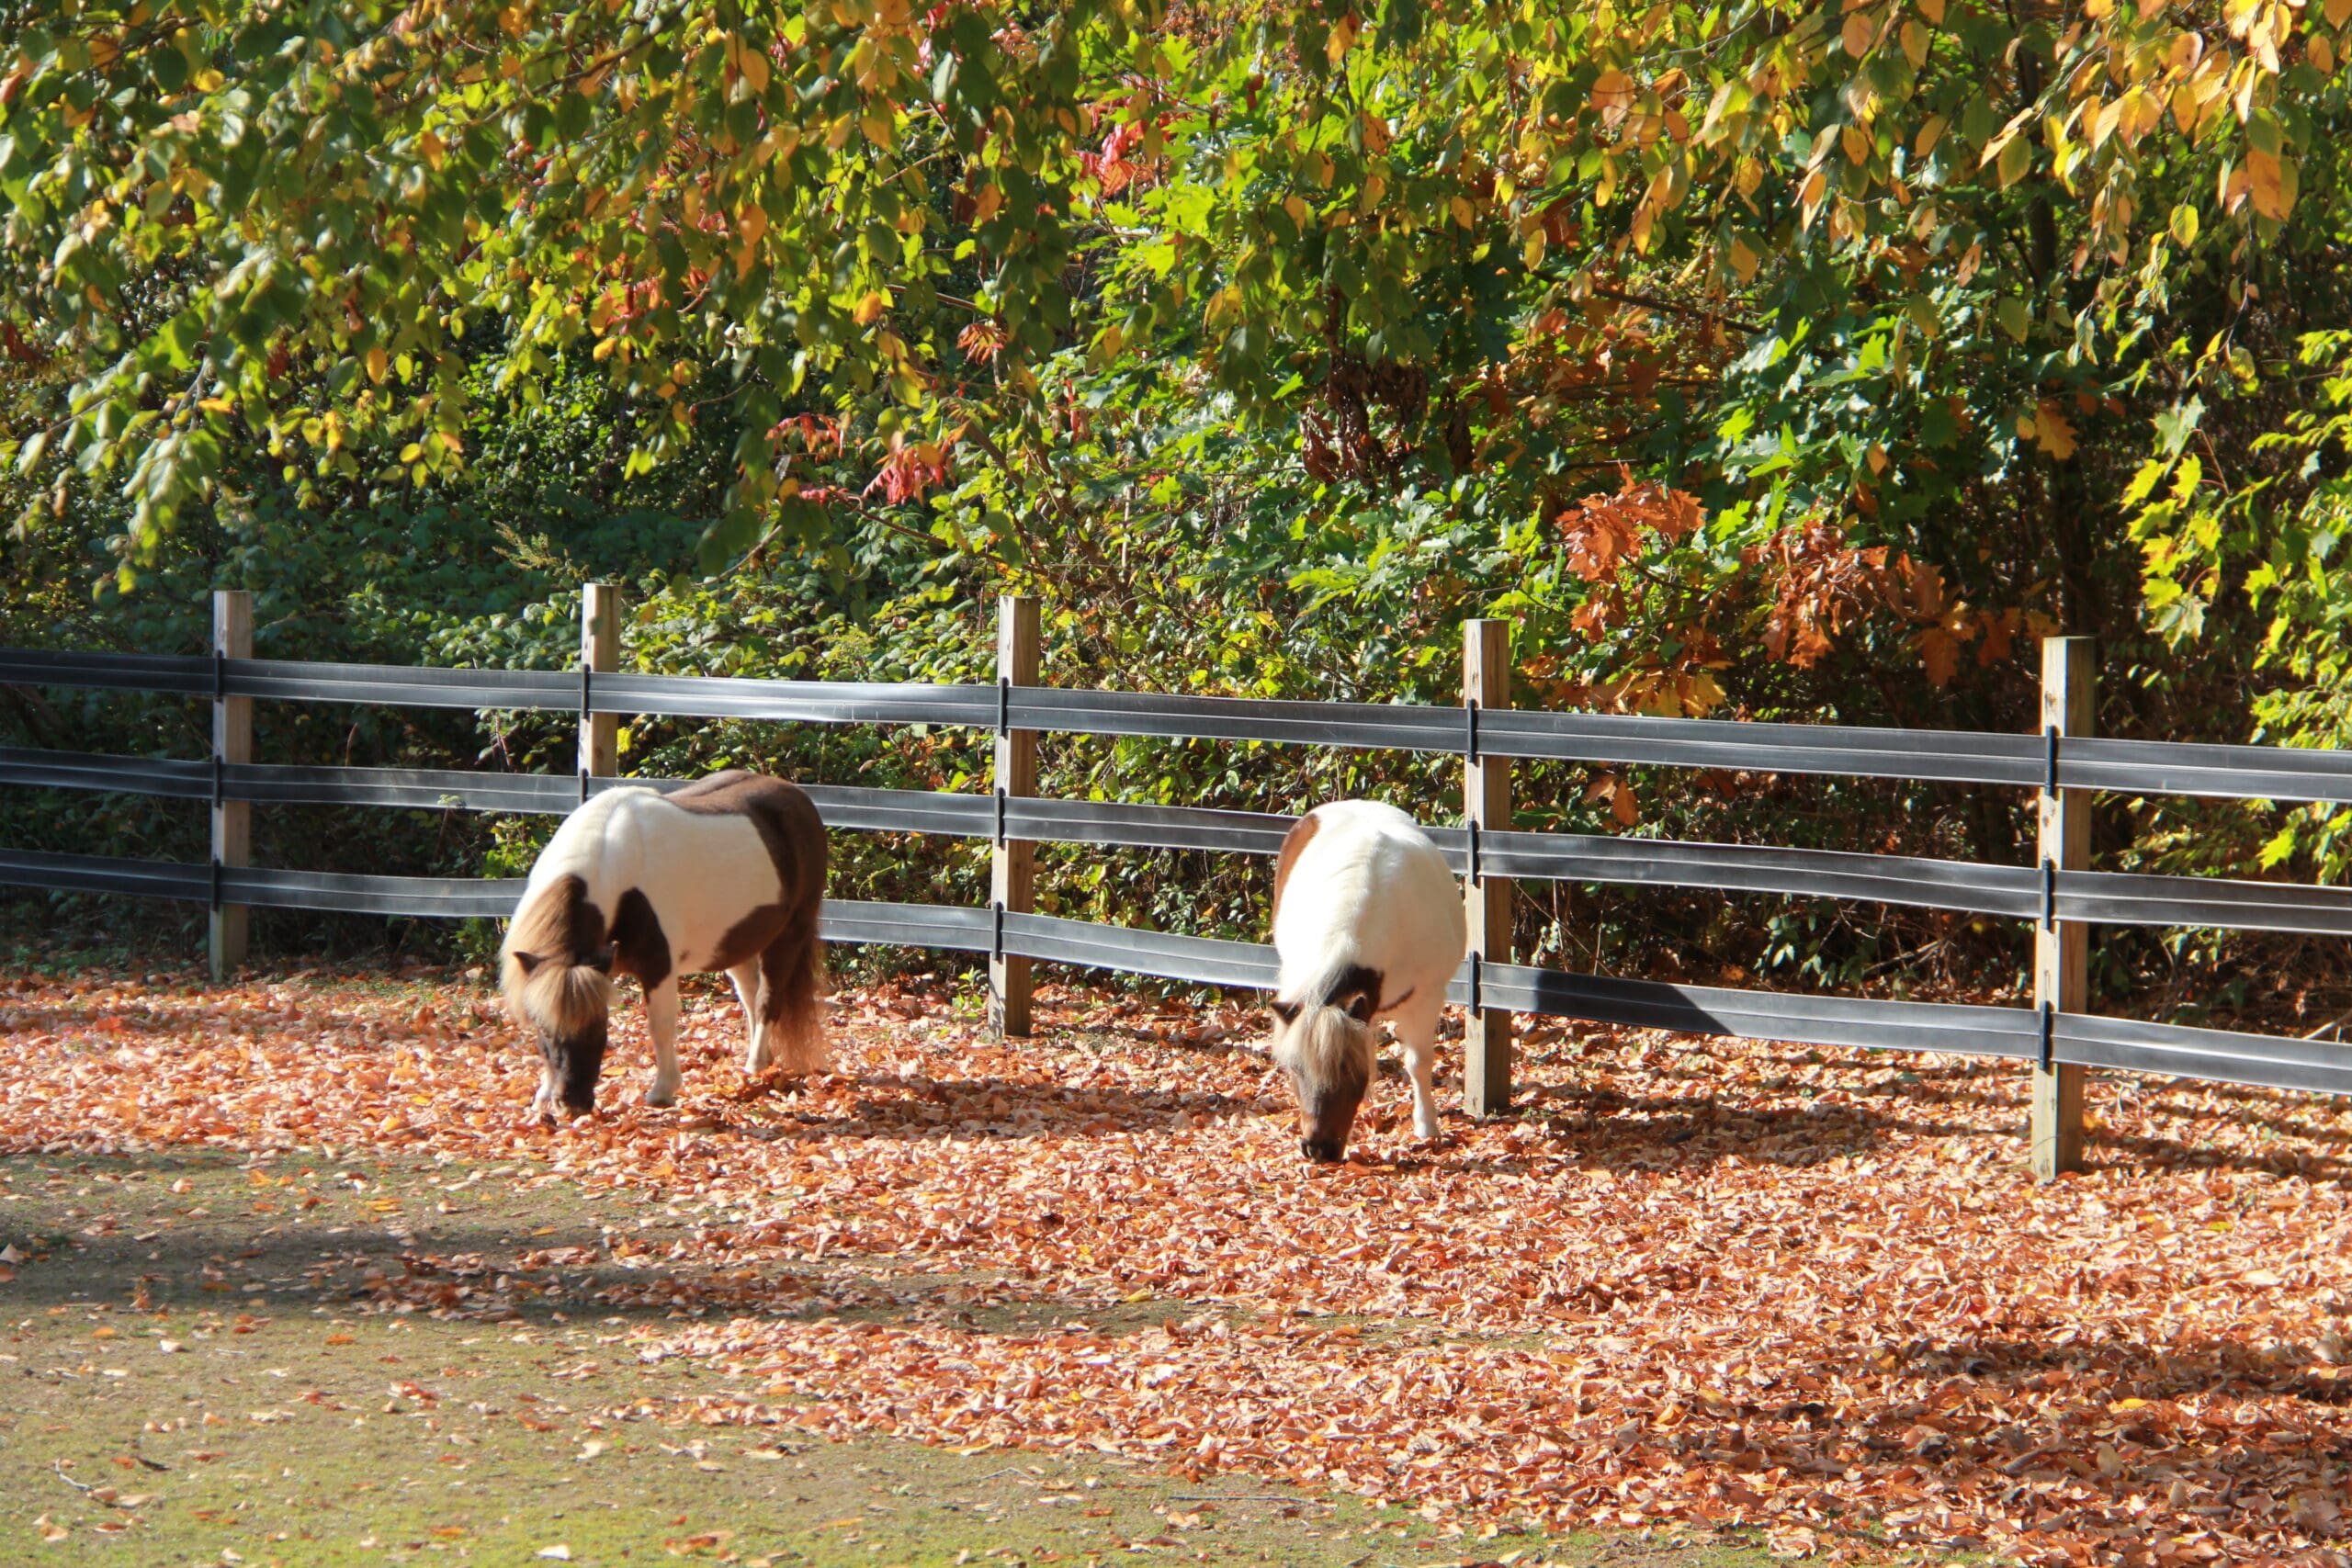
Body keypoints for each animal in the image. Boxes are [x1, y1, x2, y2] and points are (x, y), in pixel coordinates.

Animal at [500, 770, 828, 1120]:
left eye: (599, 1025)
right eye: (544, 1029)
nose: (572, 1104)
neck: (617, 872)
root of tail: (797, 797)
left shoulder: (658, 966)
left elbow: (660, 1025)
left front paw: (663, 1091)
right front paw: (542, 1096)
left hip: (789, 935)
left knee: (767, 1001)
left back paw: (754, 1067)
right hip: (738, 942)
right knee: (750, 996)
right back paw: (759, 1059)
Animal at [1268, 799, 1467, 1163]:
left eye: (1348, 1071)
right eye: (1295, 1070)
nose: (1317, 1149)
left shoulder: (1426, 999)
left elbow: (1418, 1063)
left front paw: (1427, 1127)